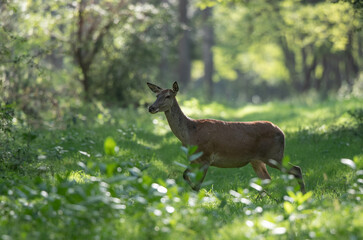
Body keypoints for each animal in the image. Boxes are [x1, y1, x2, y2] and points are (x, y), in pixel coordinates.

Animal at [146, 81, 306, 194]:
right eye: (156, 96)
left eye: (168, 96)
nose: (151, 108)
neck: (189, 134)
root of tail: (282, 132)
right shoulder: (194, 159)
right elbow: (184, 175)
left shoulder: (206, 156)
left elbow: (197, 184)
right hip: (257, 160)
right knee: (267, 179)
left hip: (274, 155)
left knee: (296, 169)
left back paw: (302, 195)